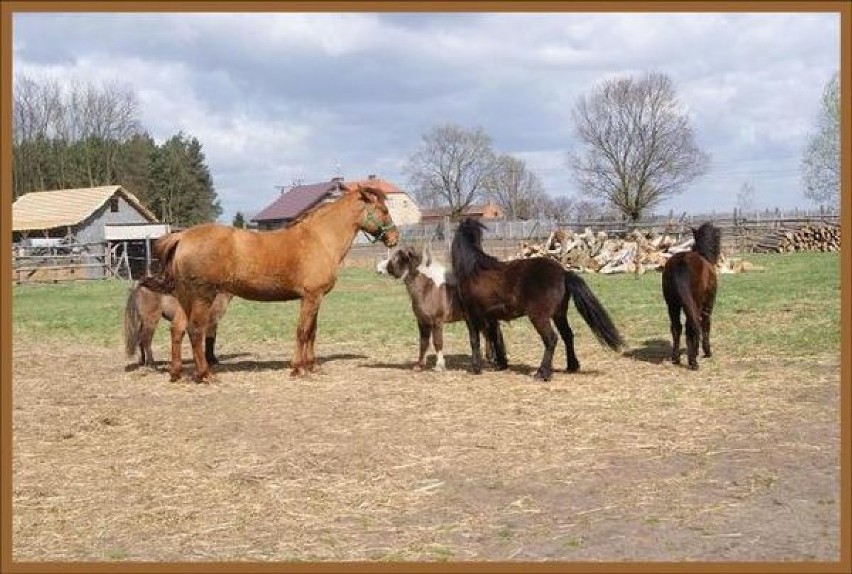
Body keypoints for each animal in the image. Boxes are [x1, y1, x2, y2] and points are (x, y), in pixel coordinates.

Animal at [142, 184, 400, 382]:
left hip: (186, 297)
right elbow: (302, 332)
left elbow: (312, 332)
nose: (394, 238)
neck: (319, 239)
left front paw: (312, 365)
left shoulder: (316, 298)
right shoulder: (310, 297)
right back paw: (206, 375)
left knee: (177, 329)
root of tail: (182, 236)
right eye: (384, 209)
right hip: (203, 297)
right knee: (195, 330)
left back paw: (176, 373)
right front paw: (297, 368)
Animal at [450, 219, 624, 382]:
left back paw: (543, 373)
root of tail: (563, 273)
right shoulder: (491, 317)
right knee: (567, 335)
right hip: (559, 314)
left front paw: (476, 368)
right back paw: (571, 366)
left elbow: (475, 340)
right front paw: (500, 364)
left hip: (539, 317)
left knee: (551, 339)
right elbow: (494, 338)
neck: (473, 269)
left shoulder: (471, 315)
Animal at [660, 223, 720, 372]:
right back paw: (693, 361)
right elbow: (705, 326)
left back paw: (676, 358)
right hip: (694, 304)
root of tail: (681, 261)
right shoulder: (707, 307)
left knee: (676, 327)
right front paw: (706, 352)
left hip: (672, 305)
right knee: (691, 326)